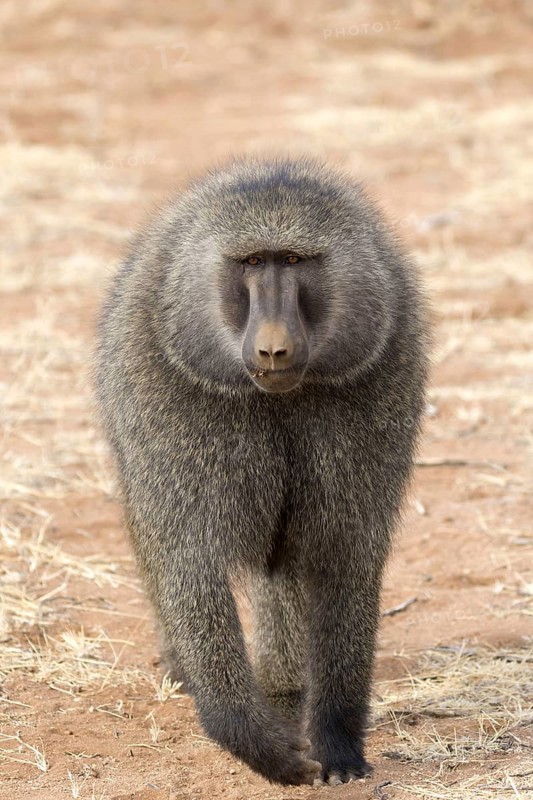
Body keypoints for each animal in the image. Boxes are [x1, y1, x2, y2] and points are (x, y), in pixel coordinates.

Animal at [95, 156, 429, 786]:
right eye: (252, 263)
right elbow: (191, 566)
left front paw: (336, 743)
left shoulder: (382, 381)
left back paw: (283, 688)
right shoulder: (168, 404)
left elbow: (344, 557)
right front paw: (260, 744)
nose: (274, 349)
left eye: (293, 262)